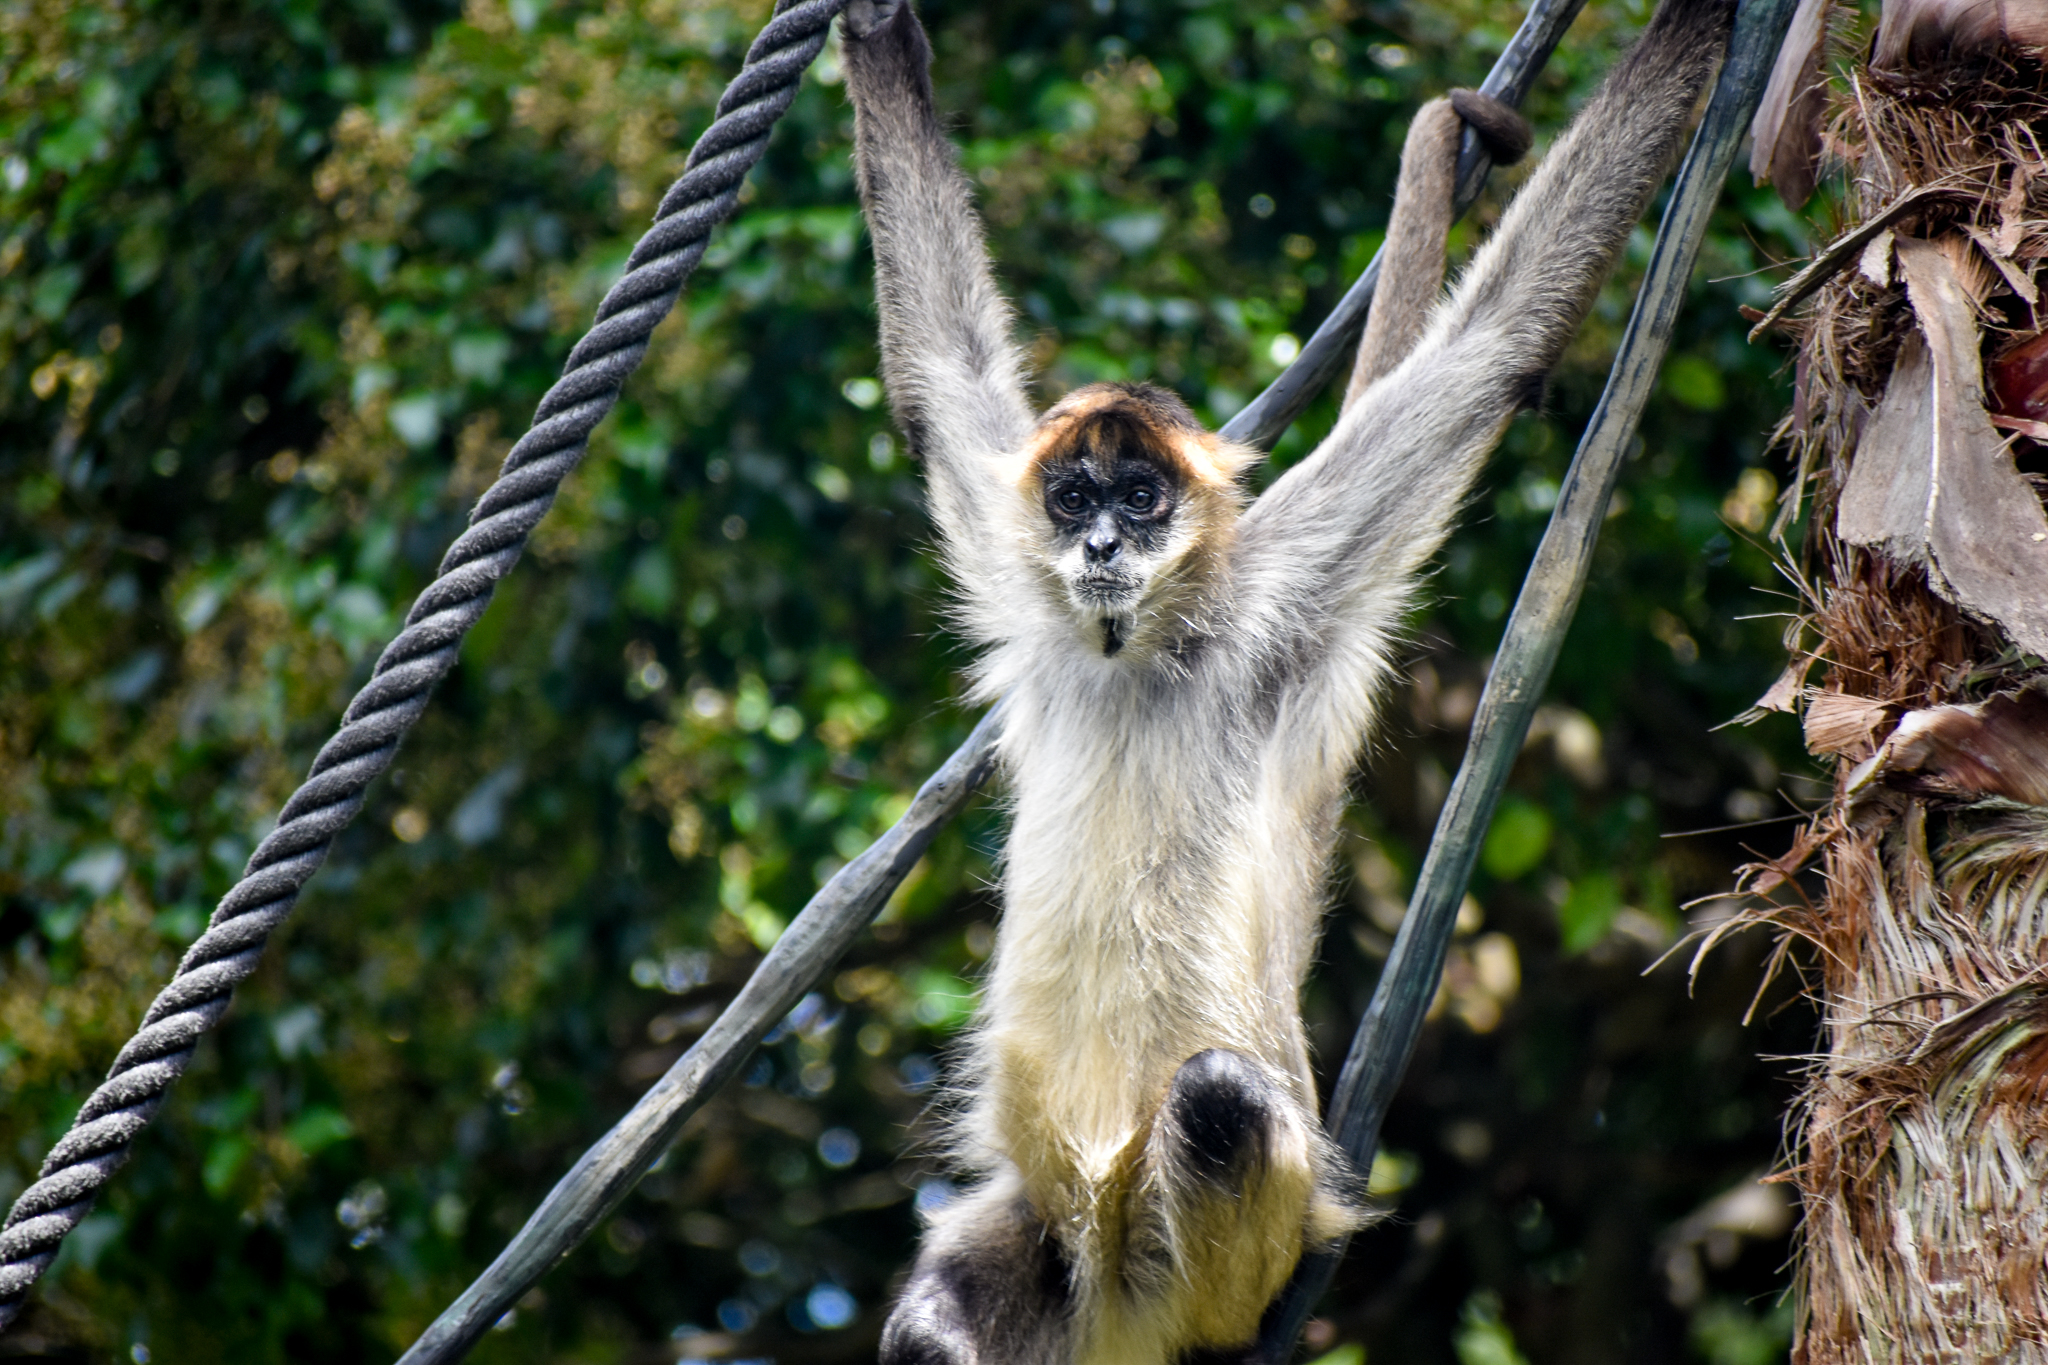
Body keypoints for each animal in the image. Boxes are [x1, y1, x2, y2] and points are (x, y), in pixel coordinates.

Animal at [835, 0, 1735, 1360]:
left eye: (1142, 498)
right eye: (1075, 499)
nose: (1101, 551)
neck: (1138, 656)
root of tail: (1110, 1288)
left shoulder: (1277, 595)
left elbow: (1489, 352)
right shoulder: (1019, 566)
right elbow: (937, 379)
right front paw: (880, 41)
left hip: (1238, 1228)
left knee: (1216, 1101)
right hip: (1039, 1235)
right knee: (932, 1333)